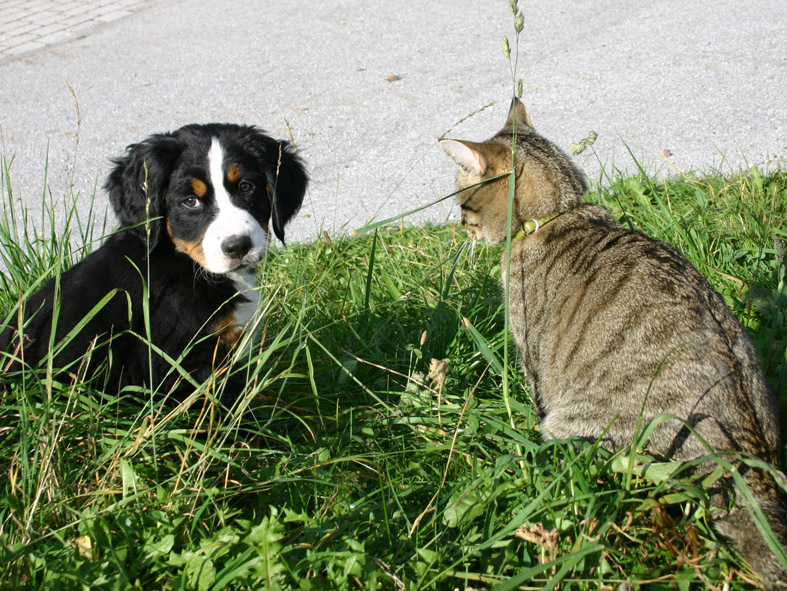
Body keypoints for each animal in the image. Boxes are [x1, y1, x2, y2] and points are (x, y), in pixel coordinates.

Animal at [440, 97, 784, 588]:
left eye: (462, 204)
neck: (556, 215)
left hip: (579, 429)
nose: (461, 230)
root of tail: (749, 471)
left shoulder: (532, 360)